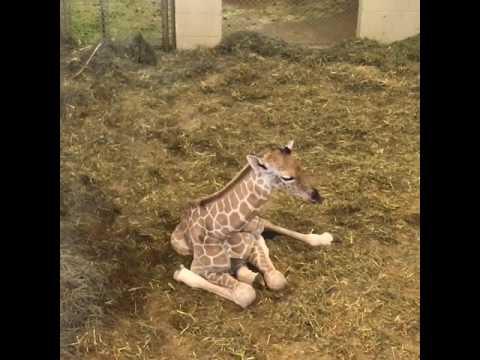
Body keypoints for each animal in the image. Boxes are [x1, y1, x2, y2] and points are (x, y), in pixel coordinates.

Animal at [172, 139, 334, 308]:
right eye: (287, 177)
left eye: (300, 166)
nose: (317, 196)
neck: (223, 230)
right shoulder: (203, 269)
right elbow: (245, 294)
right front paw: (181, 273)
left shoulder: (251, 246)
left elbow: (277, 279)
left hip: (256, 222)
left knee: (267, 226)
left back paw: (323, 238)